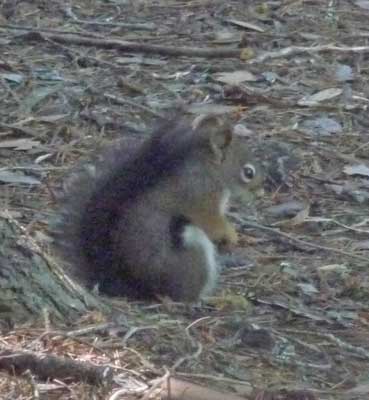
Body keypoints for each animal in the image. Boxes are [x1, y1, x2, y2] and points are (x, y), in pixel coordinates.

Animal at [55, 114, 262, 302]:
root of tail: (139, 288)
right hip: (194, 255)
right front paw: (231, 236)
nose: (261, 189)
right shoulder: (199, 197)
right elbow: (211, 221)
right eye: (248, 172)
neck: (210, 170)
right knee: (185, 295)